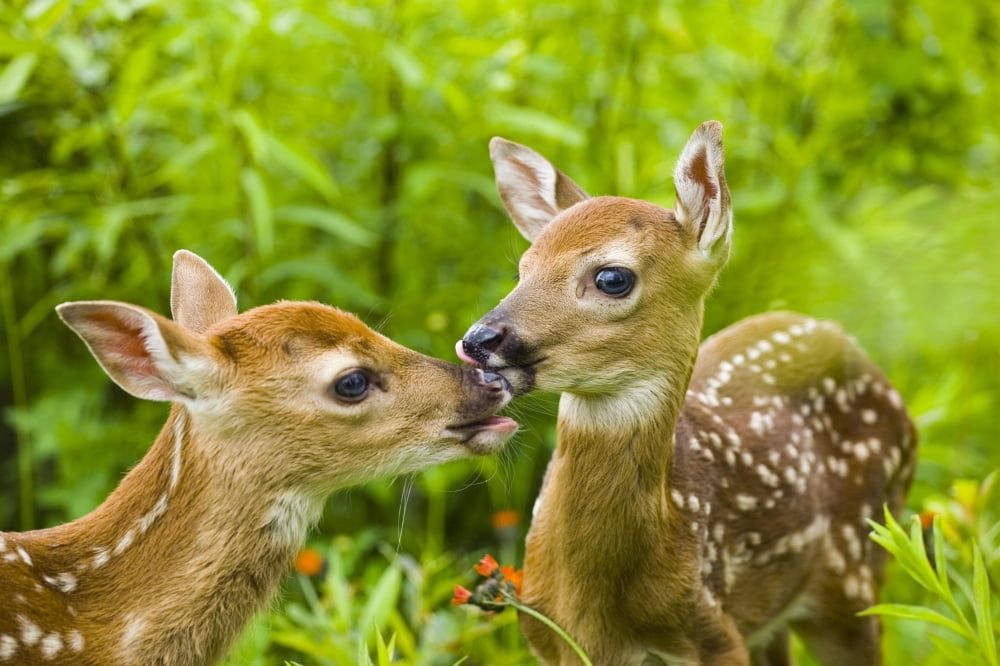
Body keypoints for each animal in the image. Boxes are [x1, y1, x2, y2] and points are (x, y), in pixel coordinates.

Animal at [456, 121, 917, 665]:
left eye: (612, 277)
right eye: (523, 268)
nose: (478, 340)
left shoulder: (714, 634)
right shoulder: (553, 640)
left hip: (856, 570)